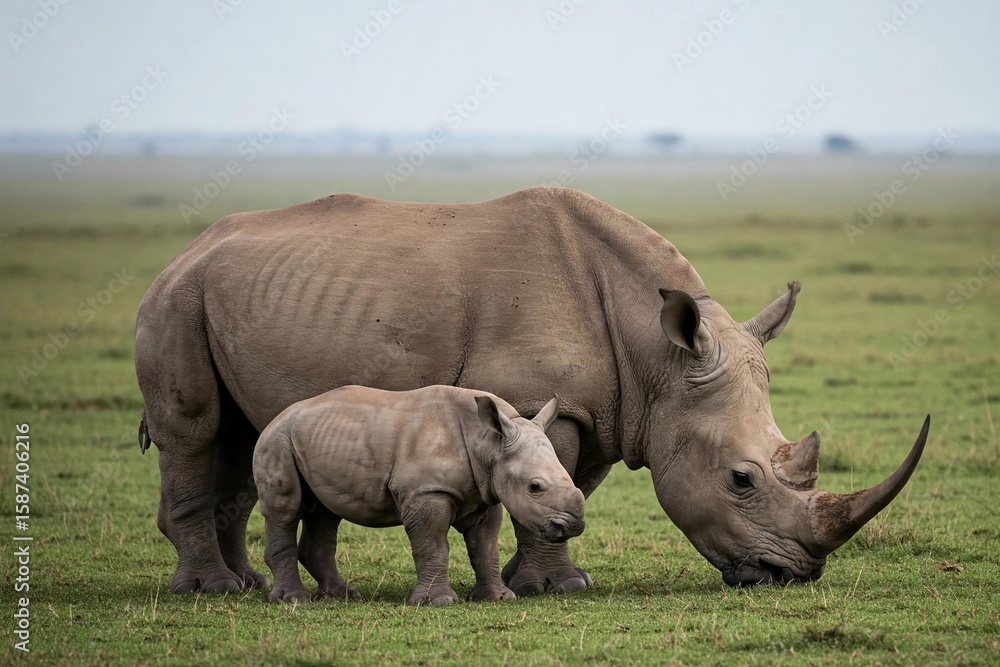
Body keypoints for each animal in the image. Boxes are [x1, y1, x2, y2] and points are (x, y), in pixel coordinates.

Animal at [254, 386, 584, 605]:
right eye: (535, 487)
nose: (573, 526)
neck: (489, 443)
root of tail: (277, 417)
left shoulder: (485, 492)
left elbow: (484, 547)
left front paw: (499, 598)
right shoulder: (425, 492)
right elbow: (432, 545)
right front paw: (437, 602)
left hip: (316, 440)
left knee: (324, 512)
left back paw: (342, 596)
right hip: (277, 440)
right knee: (285, 509)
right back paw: (293, 600)